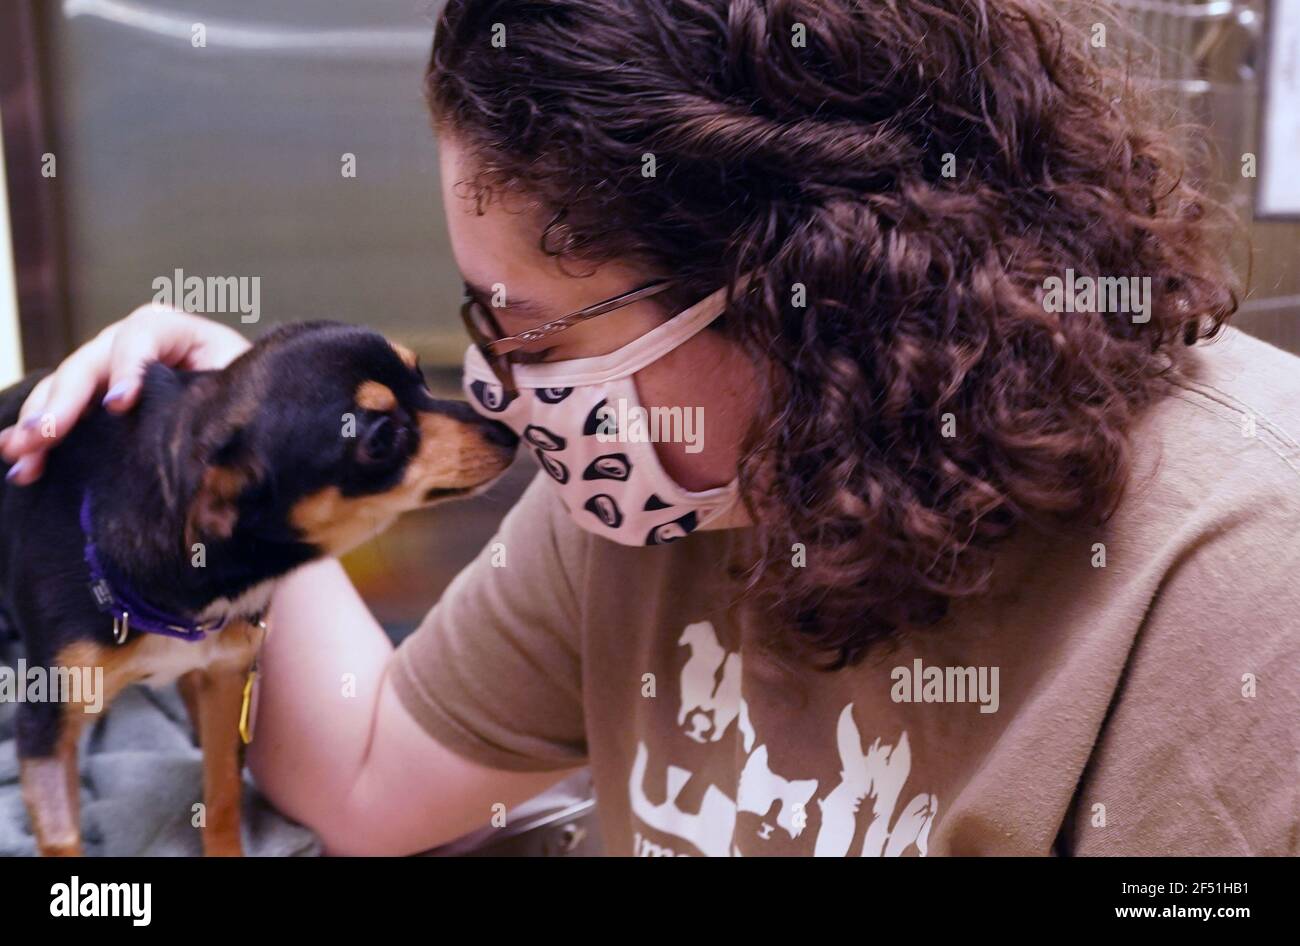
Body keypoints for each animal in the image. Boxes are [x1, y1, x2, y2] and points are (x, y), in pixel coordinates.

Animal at [0, 320, 517, 852]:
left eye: (422, 379)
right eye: (381, 438)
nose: (507, 432)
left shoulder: (227, 680)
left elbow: (223, 789)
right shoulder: (45, 725)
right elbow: (62, 838)